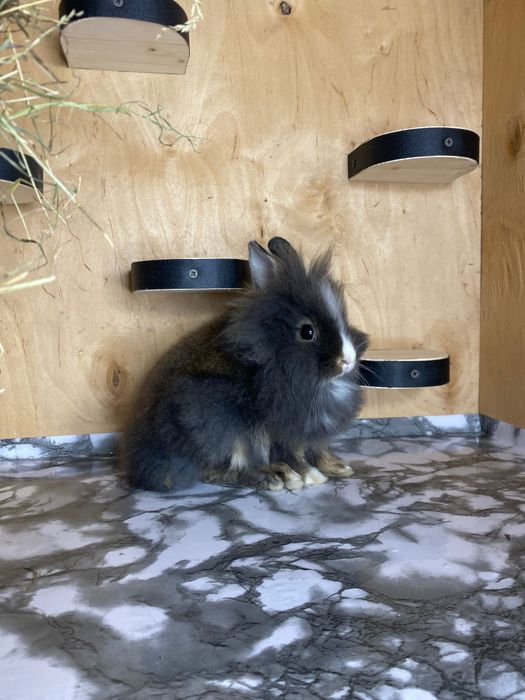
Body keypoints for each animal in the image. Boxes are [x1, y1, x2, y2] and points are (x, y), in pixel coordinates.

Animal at [119, 236, 369, 492]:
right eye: (307, 332)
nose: (348, 360)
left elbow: (318, 450)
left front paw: (337, 467)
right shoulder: (285, 430)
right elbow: (295, 454)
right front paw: (310, 476)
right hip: (219, 419)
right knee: (221, 471)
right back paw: (275, 477)